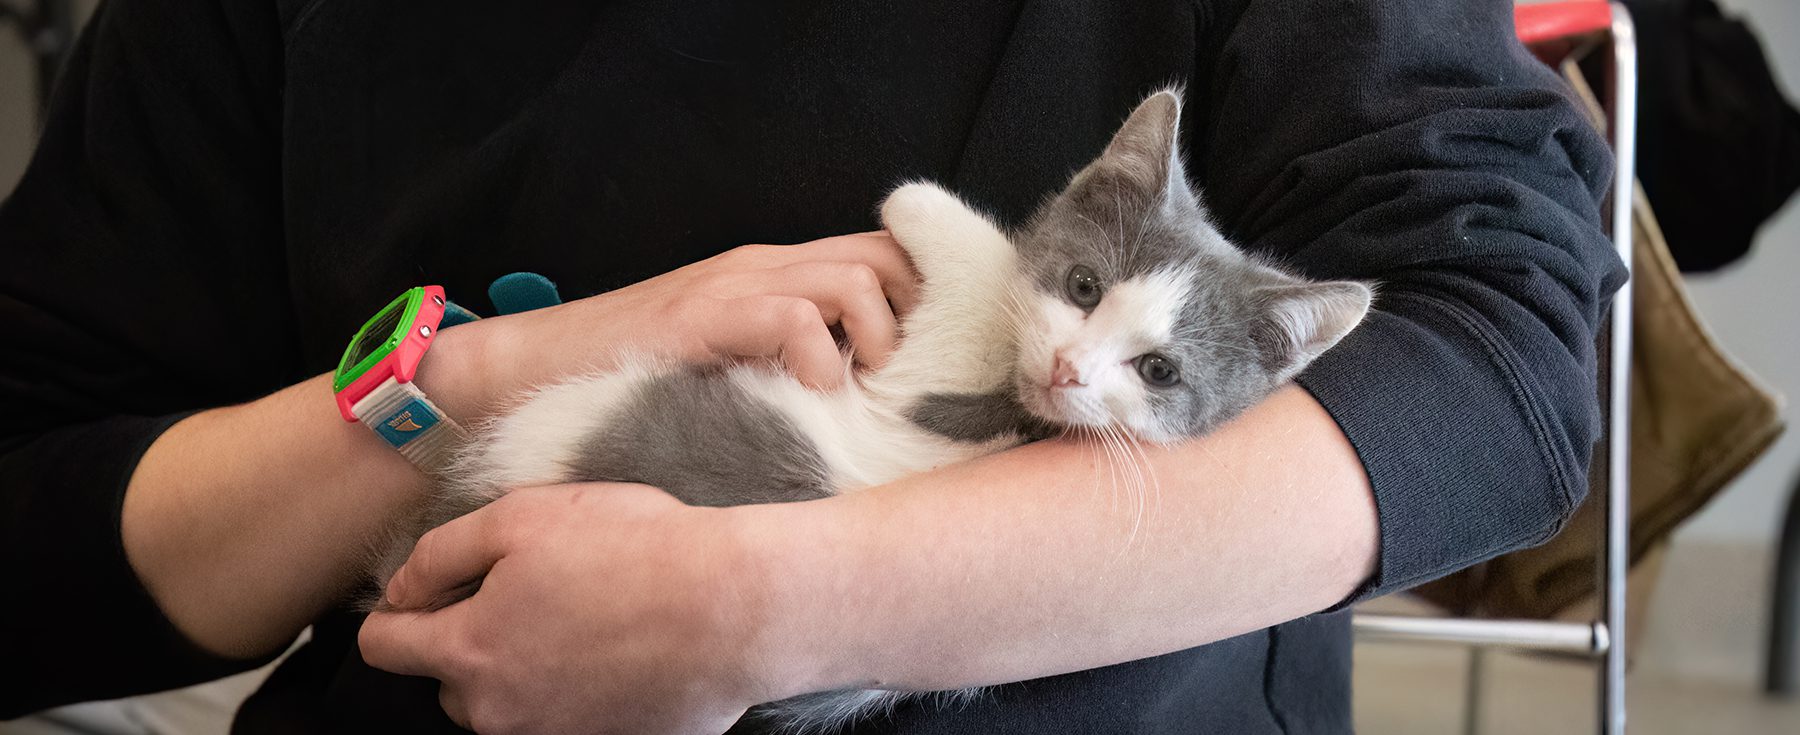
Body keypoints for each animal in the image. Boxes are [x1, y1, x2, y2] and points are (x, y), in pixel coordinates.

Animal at [372, 91, 1368, 735]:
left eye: (1158, 370)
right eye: (1085, 285)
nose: (1069, 367)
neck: (1026, 409)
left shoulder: (934, 402)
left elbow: (981, 271)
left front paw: (920, 203)